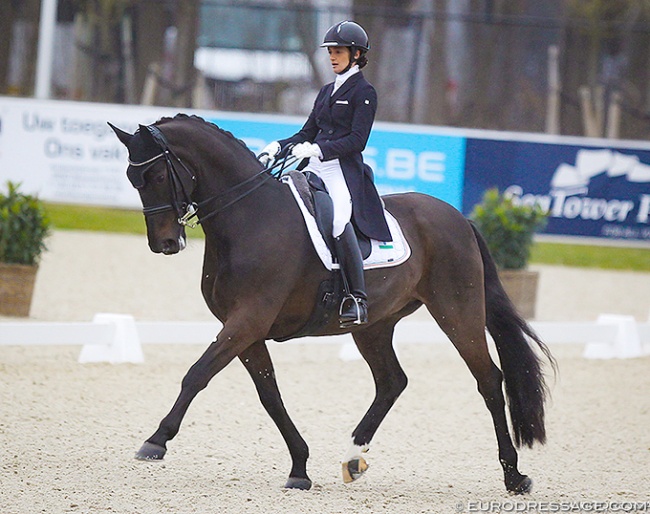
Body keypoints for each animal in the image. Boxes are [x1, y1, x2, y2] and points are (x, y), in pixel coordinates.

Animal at [107, 113, 552, 492]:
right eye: (132, 177)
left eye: (157, 174)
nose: (165, 243)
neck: (249, 218)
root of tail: (459, 217)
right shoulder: (246, 329)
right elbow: (270, 395)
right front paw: (299, 468)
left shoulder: (247, 320)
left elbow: (197, 374)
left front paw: (156, 441)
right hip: (374, 325)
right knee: (392, 381)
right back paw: (353, 459)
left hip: (457, 311)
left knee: (488, 380)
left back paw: (514, 476)